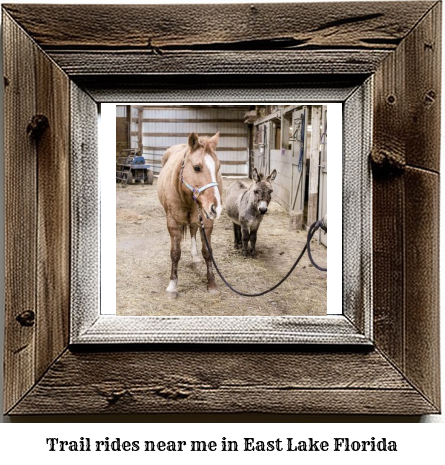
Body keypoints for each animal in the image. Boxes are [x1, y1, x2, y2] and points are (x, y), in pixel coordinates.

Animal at [158, 132, 224, 296]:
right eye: (197, 167)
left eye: (218, 167)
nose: (216, 208)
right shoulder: (173, 223)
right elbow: (175, 253)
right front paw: (172, 286)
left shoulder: (206, 222)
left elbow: (207, 251)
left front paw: (211, 283)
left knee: (193, 230)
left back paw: (195, 258)